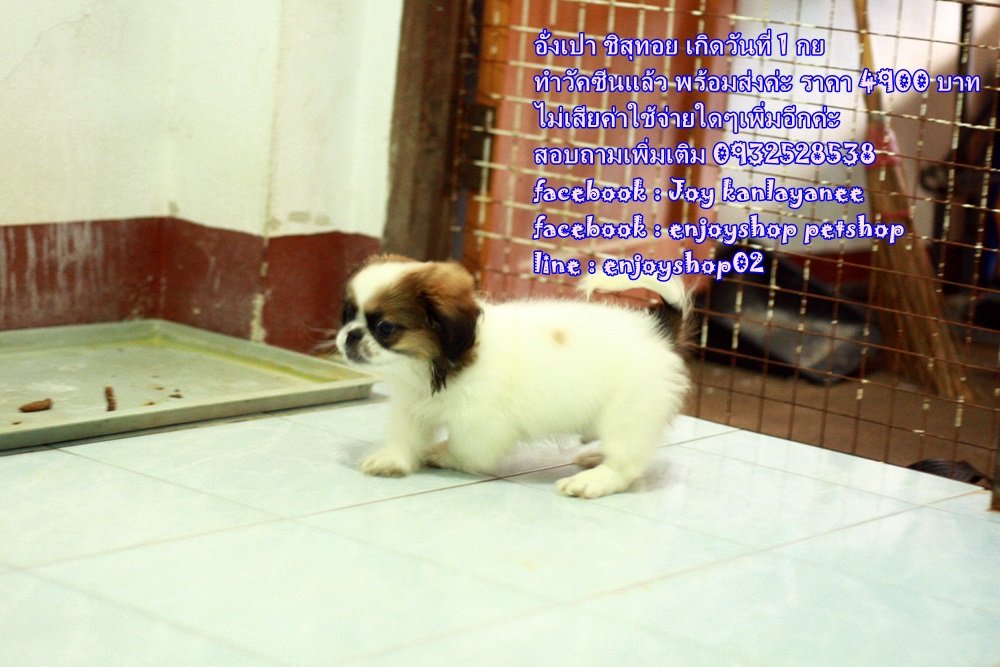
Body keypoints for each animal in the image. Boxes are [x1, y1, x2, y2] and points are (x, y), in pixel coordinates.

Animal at [334, 254, 690, 498]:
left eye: (385, 328)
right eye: (348, 314)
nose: (350, 335)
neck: (436, 364)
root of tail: (656, 330)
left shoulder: (482, 424)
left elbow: (466, 449)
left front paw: (442, 454)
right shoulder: (412, 405)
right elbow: (406, 436)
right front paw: (392, 460)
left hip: (628, 413)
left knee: (625, 462)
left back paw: (594, 480)